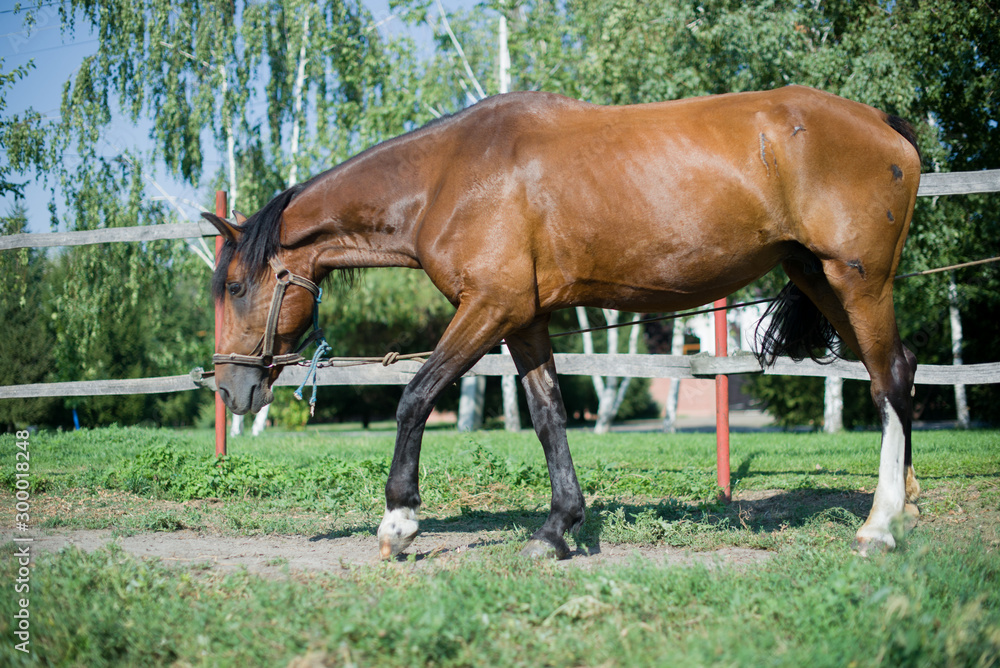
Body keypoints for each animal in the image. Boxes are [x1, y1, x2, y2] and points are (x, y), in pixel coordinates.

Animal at [204, 85, 922, 560]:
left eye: (236, 286)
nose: (232, 389)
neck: (447, 178)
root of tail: (882, 124)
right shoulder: (524, 319)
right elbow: (549, 417)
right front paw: (557, 529)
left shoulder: (489, 308)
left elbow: (416, 398)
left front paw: (400, 522)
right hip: (819, 278)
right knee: (899, 372)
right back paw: (906, 500)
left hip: (858, 282)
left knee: (889, 379)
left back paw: (880, 525)